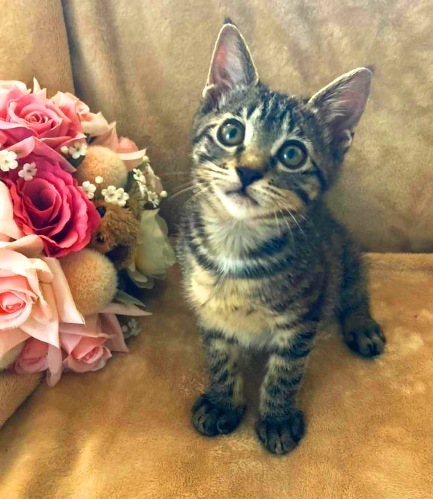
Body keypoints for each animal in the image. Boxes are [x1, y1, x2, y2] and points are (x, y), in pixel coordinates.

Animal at [177, 20, 386, 455]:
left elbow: (285, 371)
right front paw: (223, 401)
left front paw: (276, 418)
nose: (248, 170)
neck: (236, 243)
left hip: (345, 252)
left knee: (355, 289)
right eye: (230, 131)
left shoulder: (303, 316)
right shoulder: (207, 309)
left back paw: (362, 325)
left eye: (292, 154)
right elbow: (219, 358)